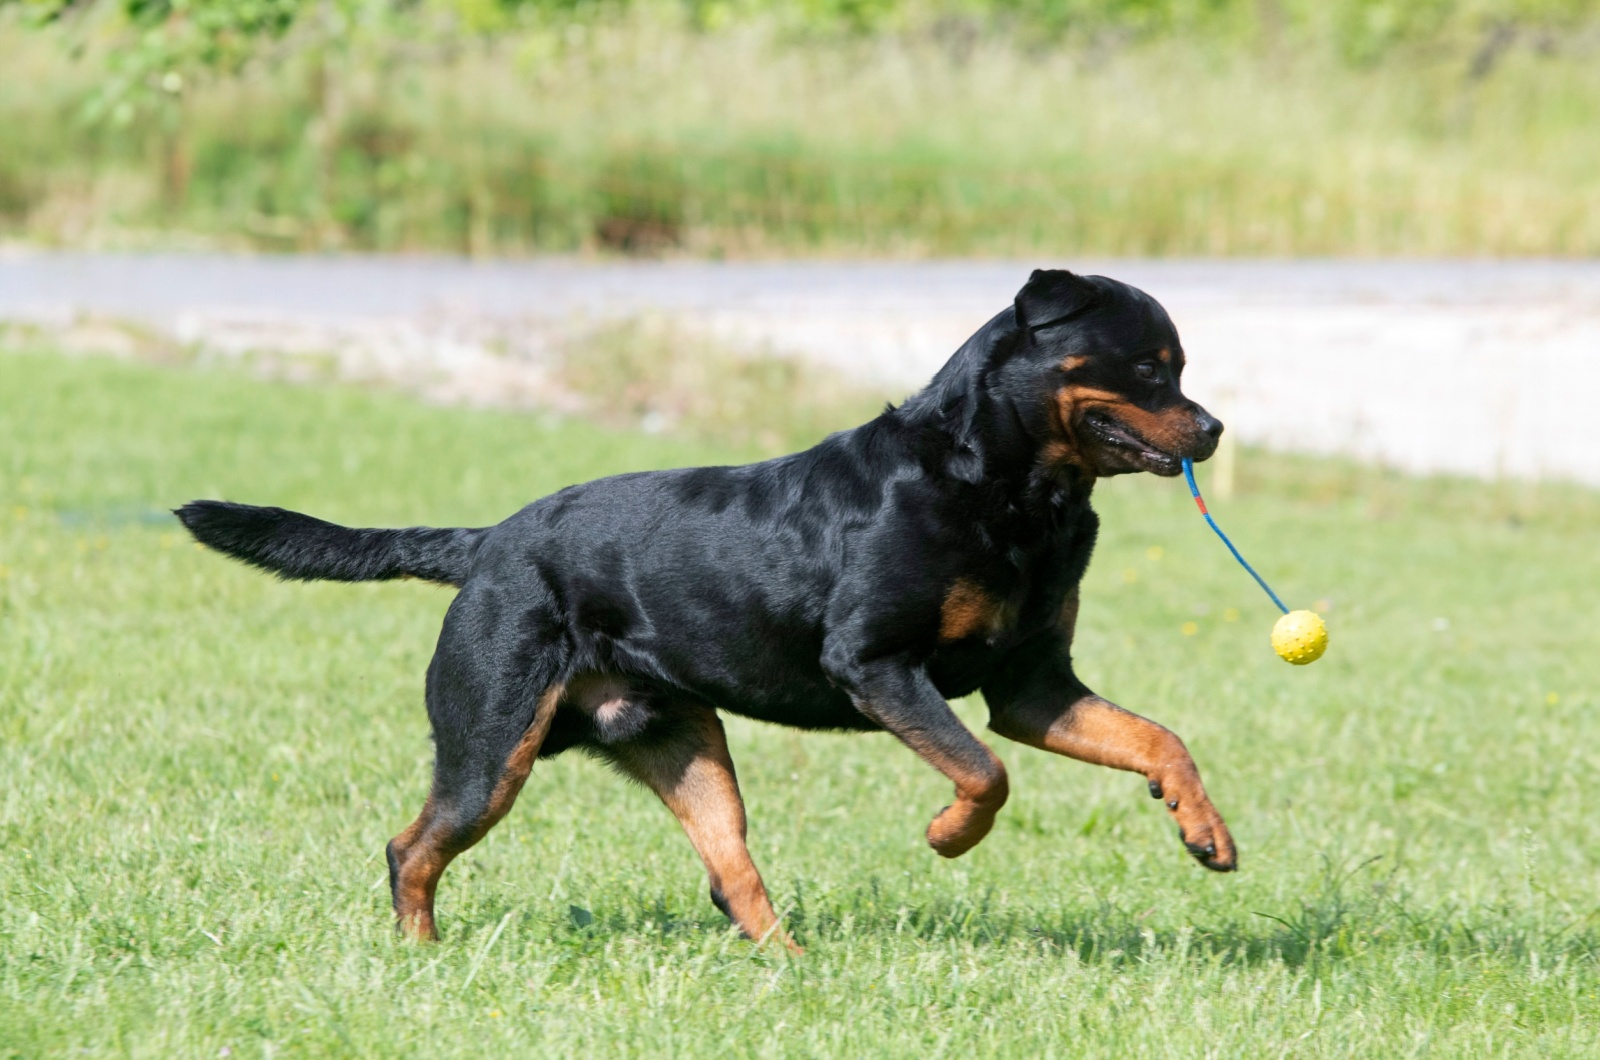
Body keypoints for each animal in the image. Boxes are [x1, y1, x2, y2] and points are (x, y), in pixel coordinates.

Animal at [184, 270, 1235, 947]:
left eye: (1181, 367)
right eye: (1151, 367)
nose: (1216, 427)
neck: (1008, 492)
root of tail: (486, 545)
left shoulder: (1031, 686)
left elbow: (1159, 737)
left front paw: (1202, 825)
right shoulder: (877, 664)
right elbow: (983, 774)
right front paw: (948, 835)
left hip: (682, 738)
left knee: (728, 863)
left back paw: (792, 963)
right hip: (492, 742)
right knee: (412, 846)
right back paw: (421, 955)